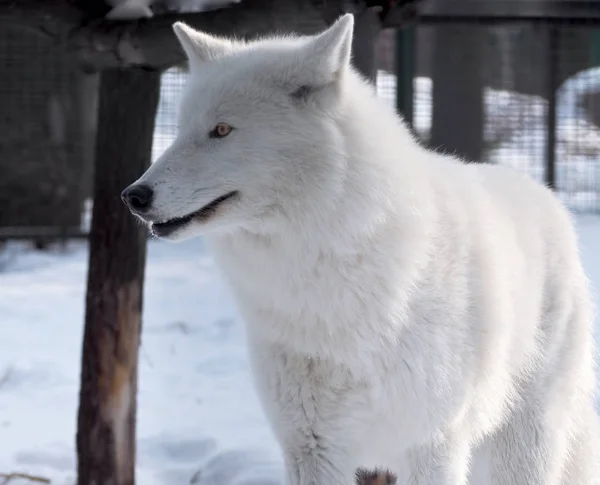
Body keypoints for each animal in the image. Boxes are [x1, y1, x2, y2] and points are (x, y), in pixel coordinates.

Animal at [122, 15, 600, 484]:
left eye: (221, 130)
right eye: (182, 129)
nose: (133, 196)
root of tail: (545, 195)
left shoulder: (432, 444)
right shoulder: (311, 446)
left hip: (521, 449)